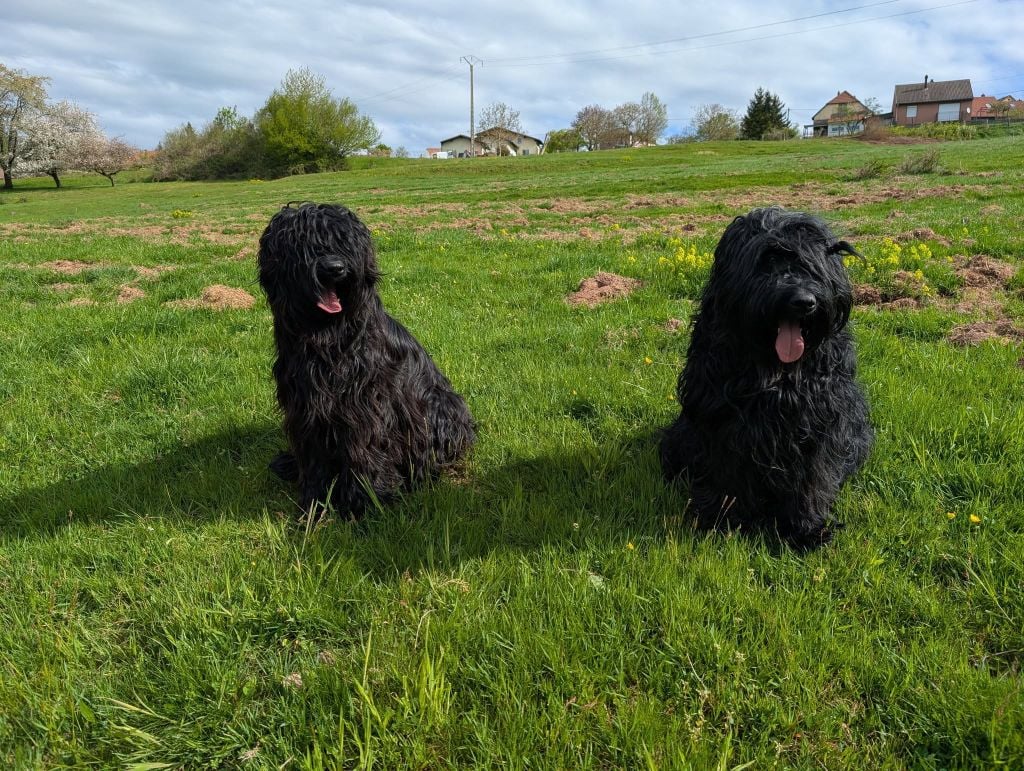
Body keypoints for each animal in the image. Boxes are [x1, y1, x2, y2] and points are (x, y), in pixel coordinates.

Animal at [257, 202, 475, 515]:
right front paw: (314, 501)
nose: (336, 268)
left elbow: (365, 449)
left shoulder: (365, 403)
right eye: (304, 244)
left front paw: (365, 502)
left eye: (345, 242)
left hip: (441, 404)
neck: (328, 336)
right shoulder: (305, 406)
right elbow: (314, 457)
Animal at [660, 207, 873, 548]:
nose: (804, 301)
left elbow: (814, 476)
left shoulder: (819, 420)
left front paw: (806, 528)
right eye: (766, 261)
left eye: (812, 265)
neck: (777, 371)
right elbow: (726, 472)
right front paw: (725, 519)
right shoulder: (721, 419)